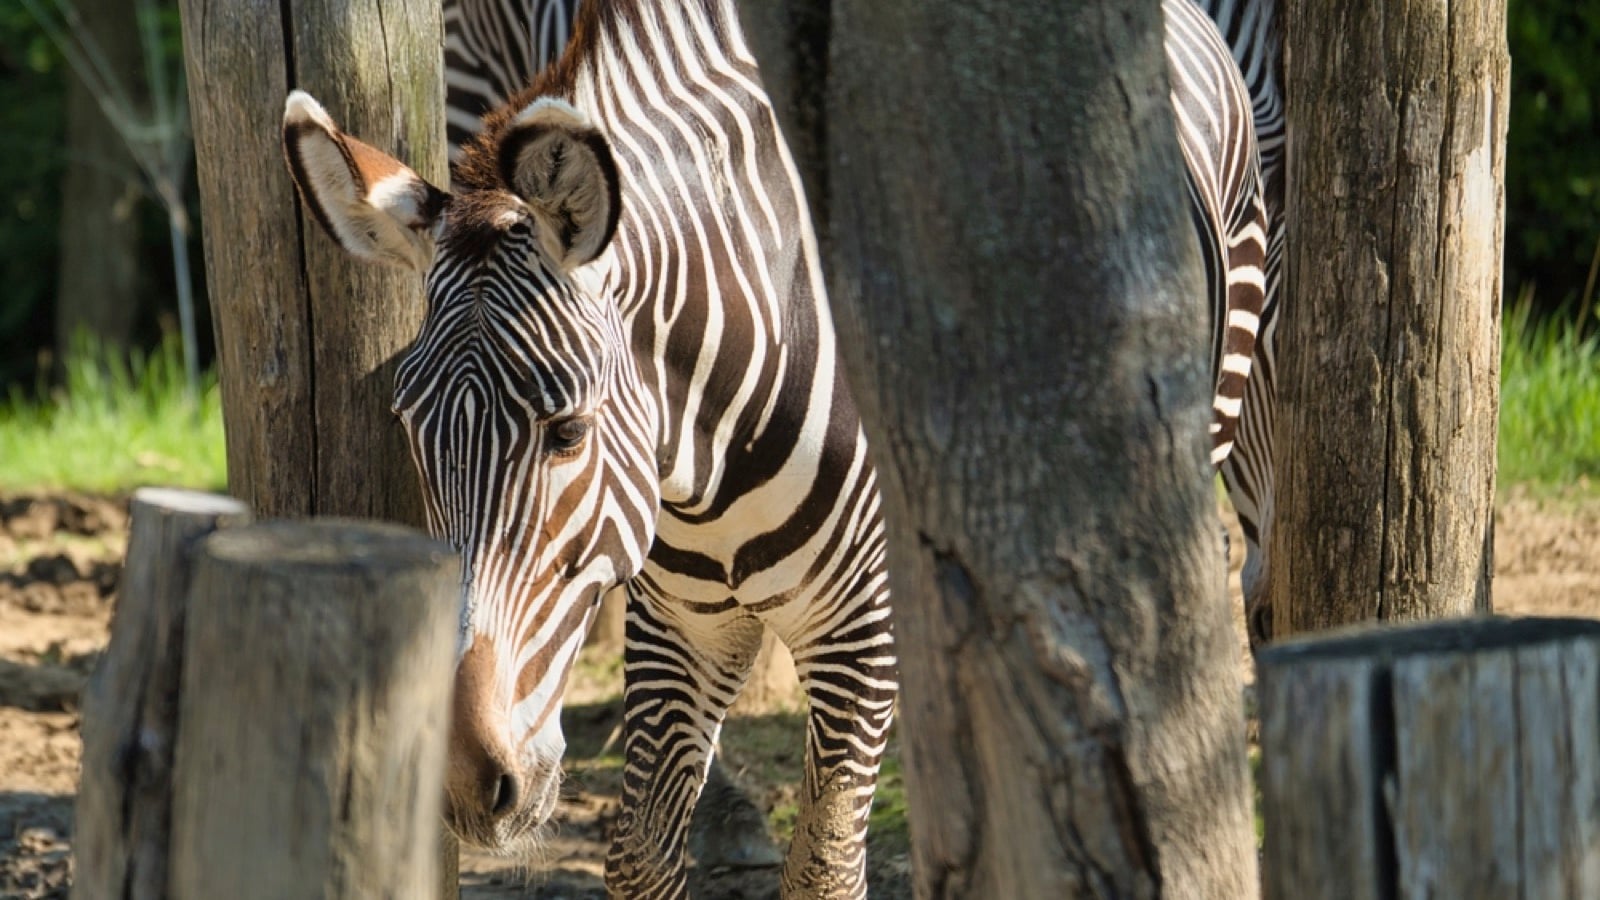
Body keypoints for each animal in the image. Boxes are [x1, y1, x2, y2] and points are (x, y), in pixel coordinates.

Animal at [284, 2, 895, 896]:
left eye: (568, 432)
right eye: (406, 425)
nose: (463, 782)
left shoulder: (863, 631)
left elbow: (827, 865)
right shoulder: (680, 628)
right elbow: (639, 857)